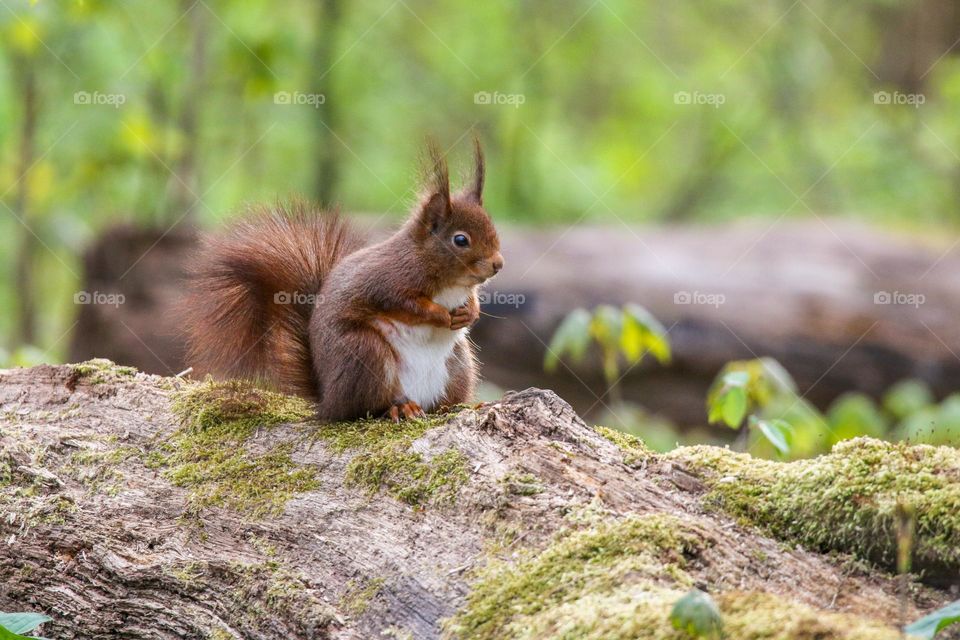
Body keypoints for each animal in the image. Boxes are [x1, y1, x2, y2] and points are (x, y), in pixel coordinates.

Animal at [180, 140, 503, 422]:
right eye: (460, 240)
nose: (498, 264)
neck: (448, 280)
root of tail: (328, 398)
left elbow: (471, 300)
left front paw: (470, 312)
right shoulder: (388, 281)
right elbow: (408, 305)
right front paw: (439, 315)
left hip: (458, 365)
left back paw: (457, 406)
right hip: (366, 353)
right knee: (365, 408)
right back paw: (398, 408)